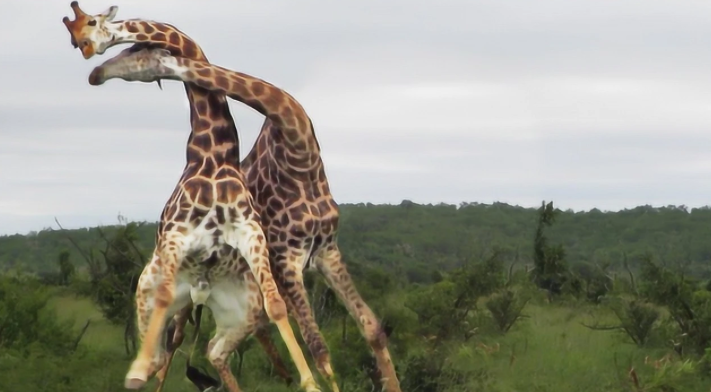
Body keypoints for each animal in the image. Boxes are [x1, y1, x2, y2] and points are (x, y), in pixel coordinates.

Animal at [62, 3, 320, 392]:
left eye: (135, 50)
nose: (94, 71)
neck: (213, 159)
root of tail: (202, 292)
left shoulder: (250, 233)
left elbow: (277, 304)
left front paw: (310, 382)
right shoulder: (178, 236)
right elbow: (164, 301)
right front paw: (136, 369)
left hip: (238, 315)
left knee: (212, 351)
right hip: (149, 298)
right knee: (158, 351)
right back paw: (139, 369)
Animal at [87, 44, 400, 392]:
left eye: (134, 54)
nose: (96, 72)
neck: (300, 156)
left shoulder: (327, 250)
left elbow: (371, 328)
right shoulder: (284, 257)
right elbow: (318, 347)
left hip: (238, 303)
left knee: (213, 347)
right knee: (171, 349)